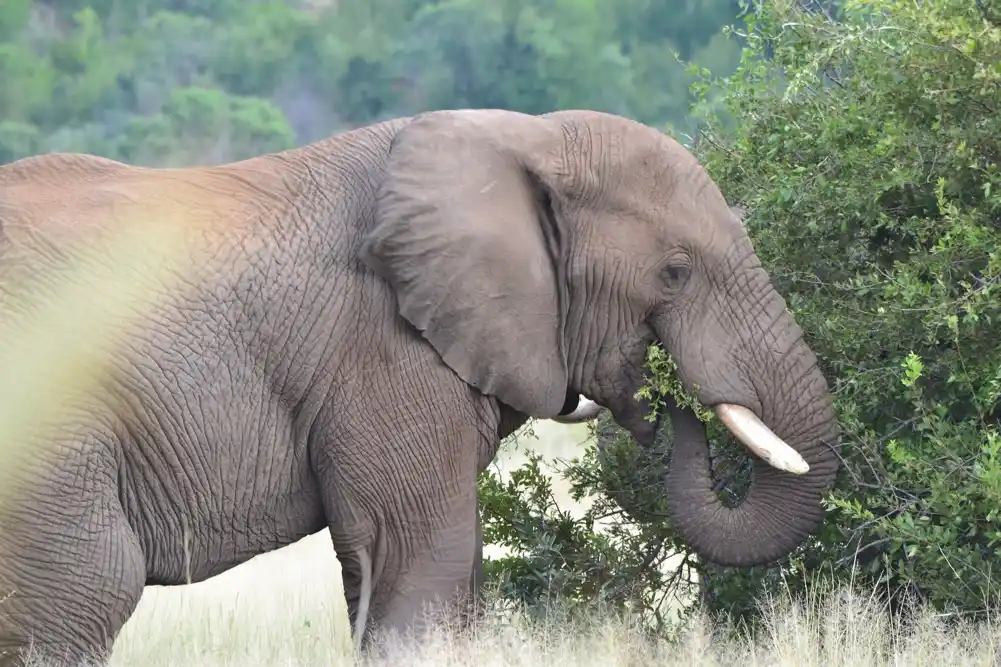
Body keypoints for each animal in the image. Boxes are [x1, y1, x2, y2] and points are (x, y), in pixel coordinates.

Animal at [0, 110, 840, 664]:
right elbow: (419, 560)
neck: (526, 138)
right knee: (82, 593)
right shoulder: (385, 352)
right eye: (673, 271)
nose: (662, 398)